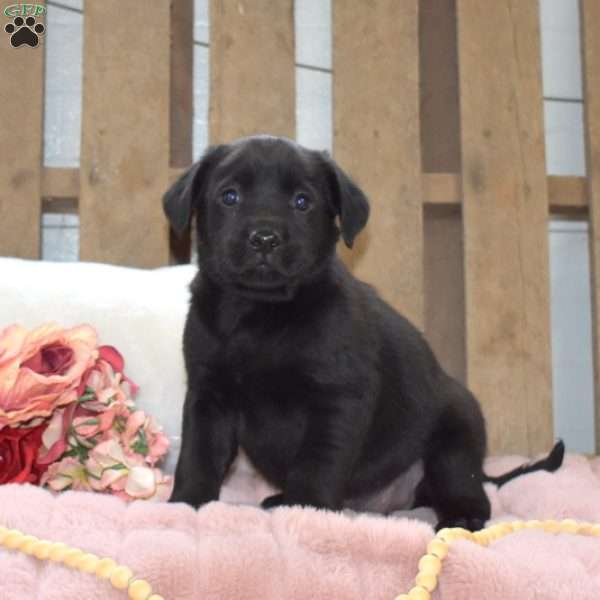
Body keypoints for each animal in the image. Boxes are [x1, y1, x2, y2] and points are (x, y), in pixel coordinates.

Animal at [164, 135, 564, 528]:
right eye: (229, 196)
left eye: (302, 201)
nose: (264, 238)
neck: (261, 314)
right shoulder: (208, 397)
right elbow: (199, 454)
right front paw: (187, 503)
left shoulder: (337, 399)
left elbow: (317, 460)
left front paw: (305, 508)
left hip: (455, 442)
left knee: (469, 492)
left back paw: (461, 516)